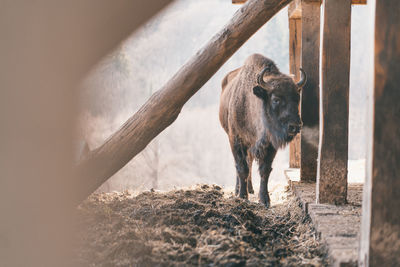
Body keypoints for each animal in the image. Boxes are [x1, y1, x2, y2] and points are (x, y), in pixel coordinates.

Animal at [219, 53, 306, 207]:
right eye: (276, 99)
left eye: (297, 98)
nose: (295, 126)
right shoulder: (235, 140)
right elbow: (241, 168)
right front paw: (242, 196)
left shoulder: (270, 145)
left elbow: (265, 170)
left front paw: (265, 200)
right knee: (242, 166)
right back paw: (238, 190)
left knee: (250, 162)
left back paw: (250, 188)